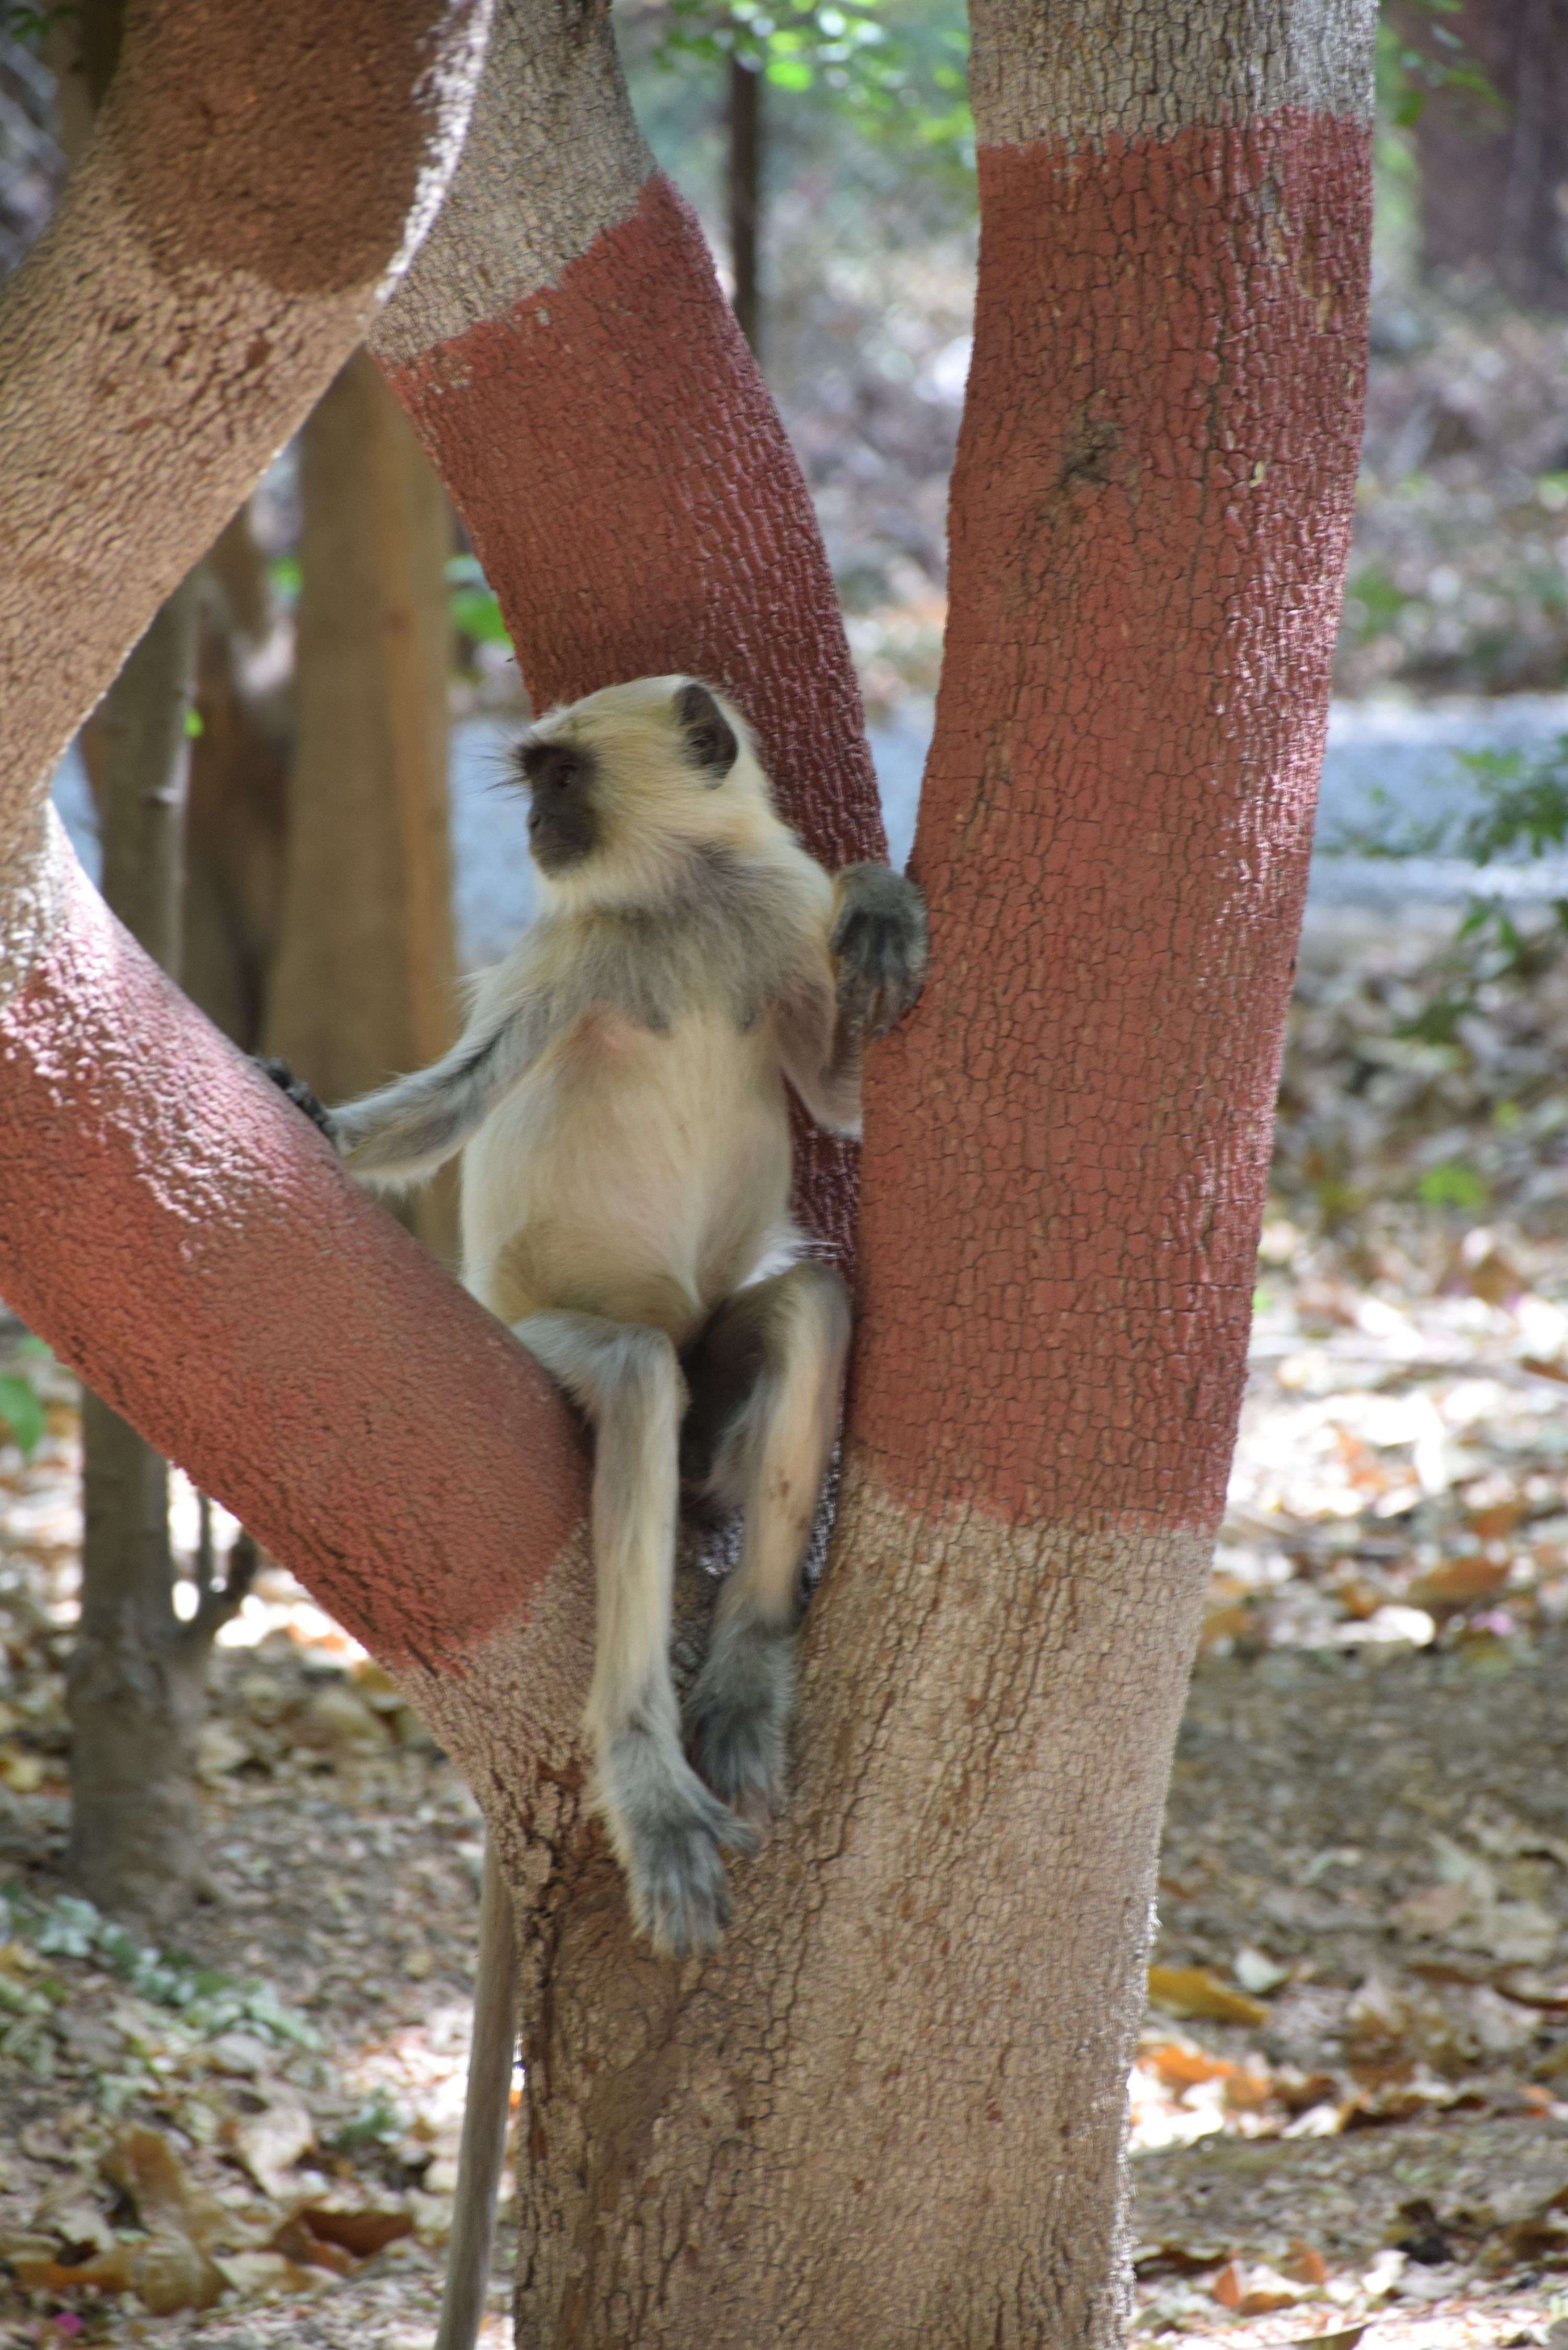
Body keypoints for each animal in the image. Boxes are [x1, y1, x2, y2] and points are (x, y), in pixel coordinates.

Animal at [266, 672, 926, 2341]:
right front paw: (305, 1113)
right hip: (547, 1345)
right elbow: (445, 1112)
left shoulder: (768, 921)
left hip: (722, 1355)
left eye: (561, 778)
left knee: (810, 1309)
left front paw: (884, 912)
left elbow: (839, 1106)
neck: (679, 901)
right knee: (631, 1381)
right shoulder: (571, 961)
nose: (536, 827)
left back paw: (746, 1678)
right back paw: (650, 1780)